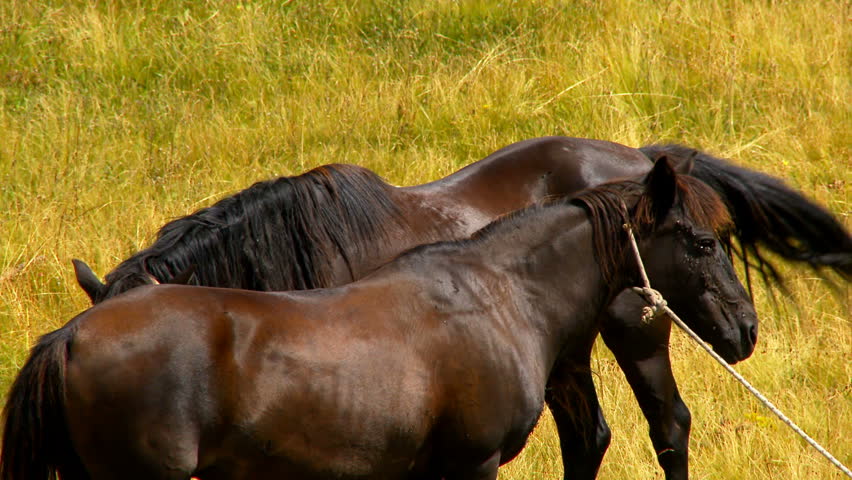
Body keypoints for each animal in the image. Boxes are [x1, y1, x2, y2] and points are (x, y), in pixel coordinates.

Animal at [68, 137, 852, 478]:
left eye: (712, 241)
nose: (744, 330)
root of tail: (639, 156)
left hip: (638, 332)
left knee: (669, 428)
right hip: (570, 355)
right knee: (589, 437)